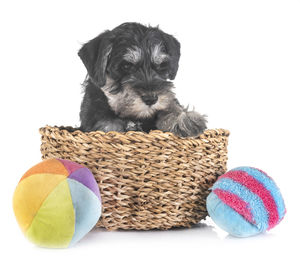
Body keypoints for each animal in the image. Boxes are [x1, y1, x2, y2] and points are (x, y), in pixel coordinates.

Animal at [78, 23, 207, 137]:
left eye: (161, 65)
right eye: (126, 66)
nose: (151, 99)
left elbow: (171, 104)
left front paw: (183, 118)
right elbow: (109, 126)